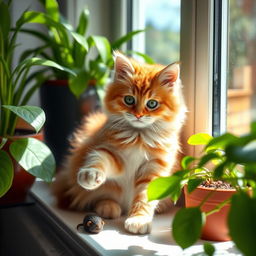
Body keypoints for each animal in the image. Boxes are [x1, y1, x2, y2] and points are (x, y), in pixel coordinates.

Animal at [52, 52, 186, 234]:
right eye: (129, 100)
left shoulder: (155, 166)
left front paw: (139, 220)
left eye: (152, 103)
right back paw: (108, 207)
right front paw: (91, 174)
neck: (138, 136)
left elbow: (144, 197)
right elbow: (100, 159)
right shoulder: (115, 155)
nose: (138, 115)